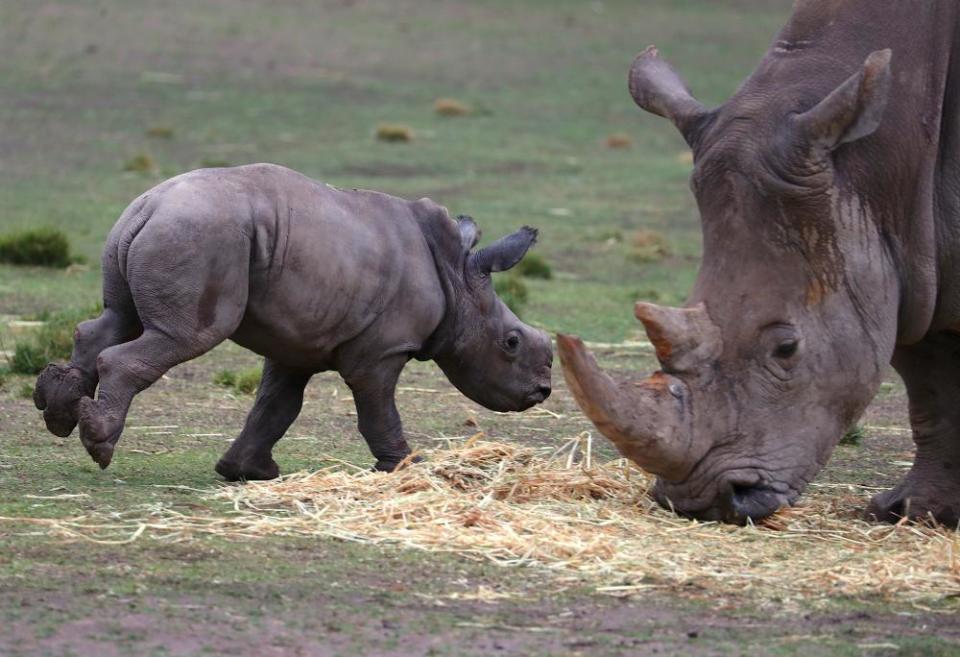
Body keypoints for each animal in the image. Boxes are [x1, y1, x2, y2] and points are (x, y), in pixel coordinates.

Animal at [35, 163, 556, 476]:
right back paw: (100, 447)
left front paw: (248, 472)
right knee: (180, 336)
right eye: (511, 343)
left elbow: (276, 406)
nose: (542, 392)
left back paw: (58, 414)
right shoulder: (381, 350)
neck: (457, 278)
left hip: (167, 231)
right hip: (201, 236)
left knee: (116, 318)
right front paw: (409, 467)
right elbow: (376, 409)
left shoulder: (297, 343)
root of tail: (148, 205)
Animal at [560, 0, 960, 524]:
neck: (880, 162)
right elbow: (929, 382)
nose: (702, 501)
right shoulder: (910, 258)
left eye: (786, 349)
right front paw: (914, 512)